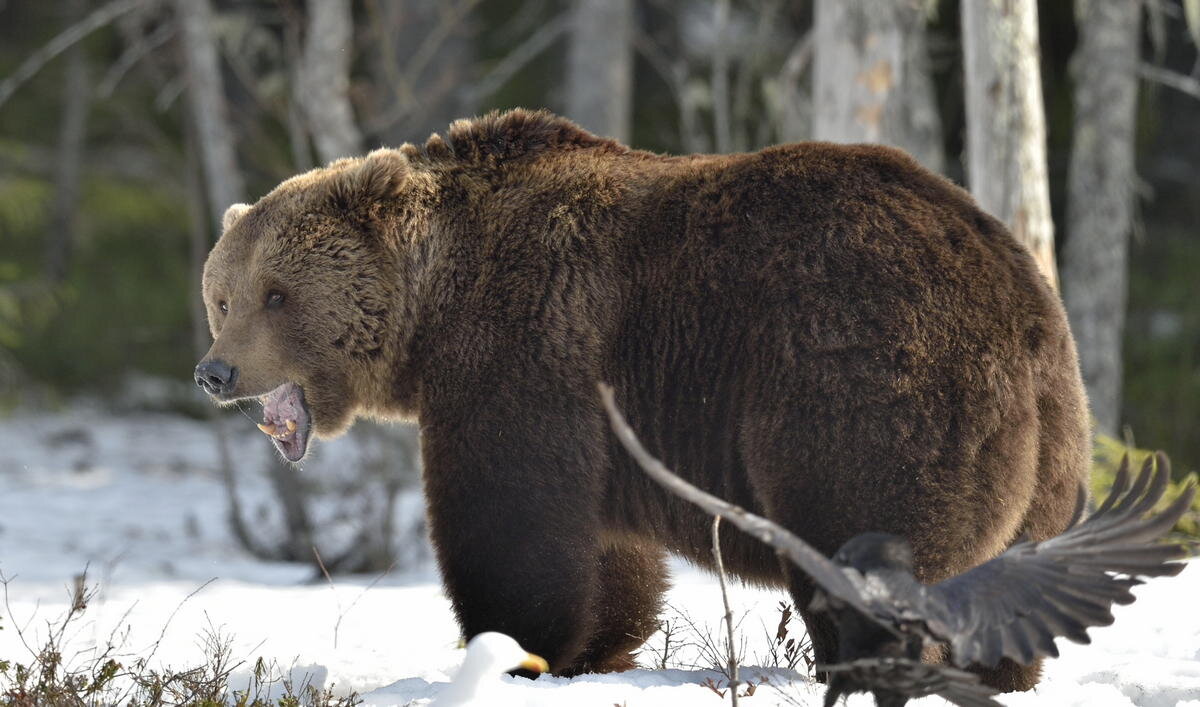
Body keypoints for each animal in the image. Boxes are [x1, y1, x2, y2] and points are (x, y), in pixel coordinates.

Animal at [194, 108, 1089, 691]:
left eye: (276, 294)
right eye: (222, 295)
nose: (215, 371)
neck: (432, 307)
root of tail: (1017, 296)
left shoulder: (521, 353)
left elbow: (508, 524)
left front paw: (513, 649)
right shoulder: (596, 422)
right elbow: (604, 552)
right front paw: (595, 651)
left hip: (865, 377)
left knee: (863, 535)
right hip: (1053, 444)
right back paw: (1005, 670)